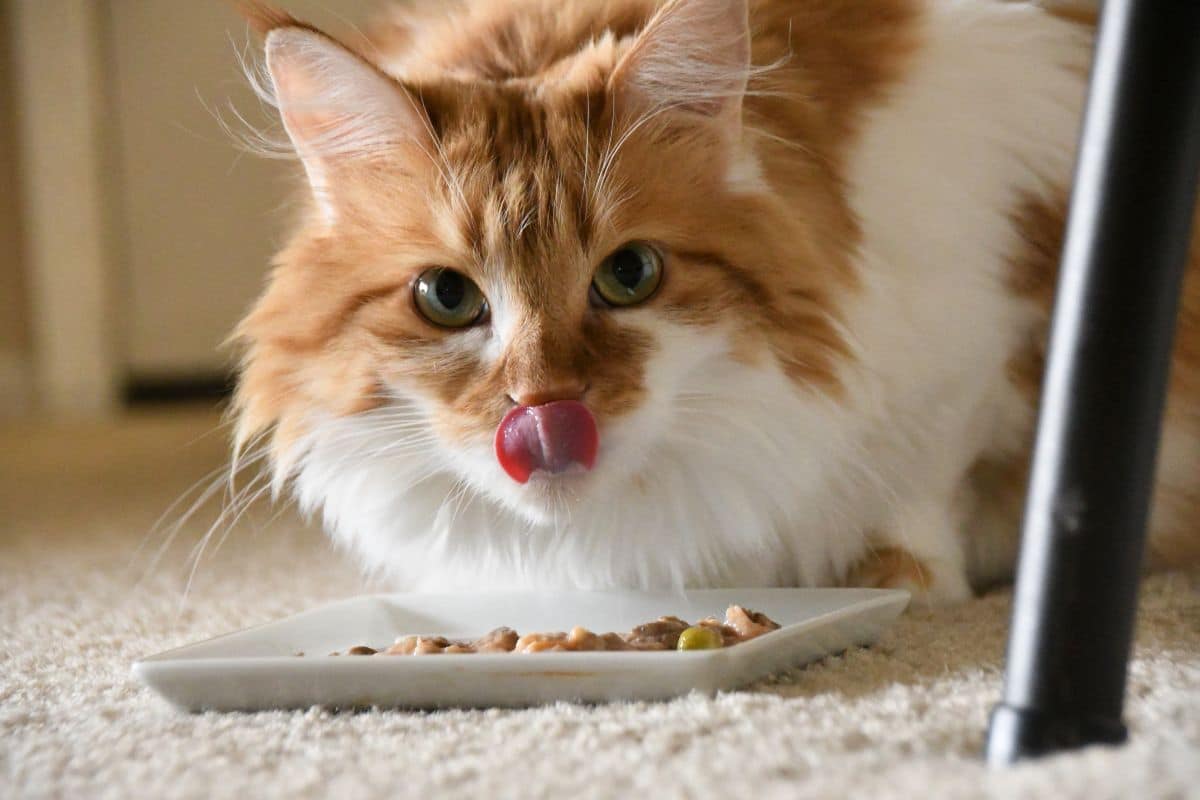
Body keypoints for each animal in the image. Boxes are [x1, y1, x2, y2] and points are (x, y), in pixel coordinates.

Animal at [226, 0, 1200, 604]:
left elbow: (924, 481)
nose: (545, 407)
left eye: (629, 276)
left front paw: (900, 578)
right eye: (447, 296)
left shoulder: (986, 319)